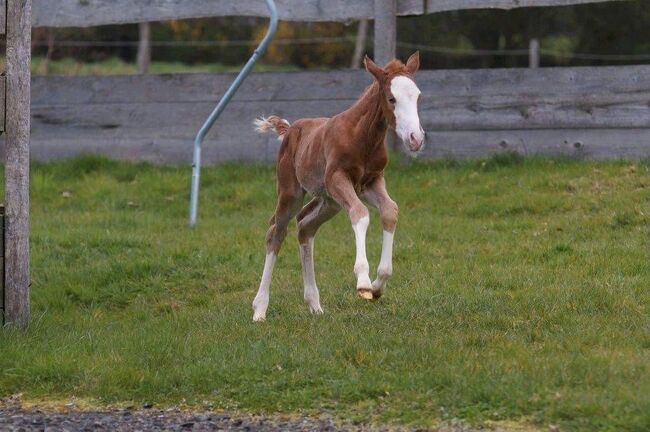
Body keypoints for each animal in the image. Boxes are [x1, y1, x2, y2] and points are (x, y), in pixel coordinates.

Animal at [251, 52, 422, 320]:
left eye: (417, 96)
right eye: (391, 98)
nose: (416, 139)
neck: (362, 137)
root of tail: (290, 130)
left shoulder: (372, 182)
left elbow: (390, 210)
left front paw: (377, 286)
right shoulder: (338, 178)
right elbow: (360, 214)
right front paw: (363, 282)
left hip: (329, 201)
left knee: (305, 227)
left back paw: (314, 304)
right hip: (291, 192)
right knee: (276, 232)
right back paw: (260, 309)